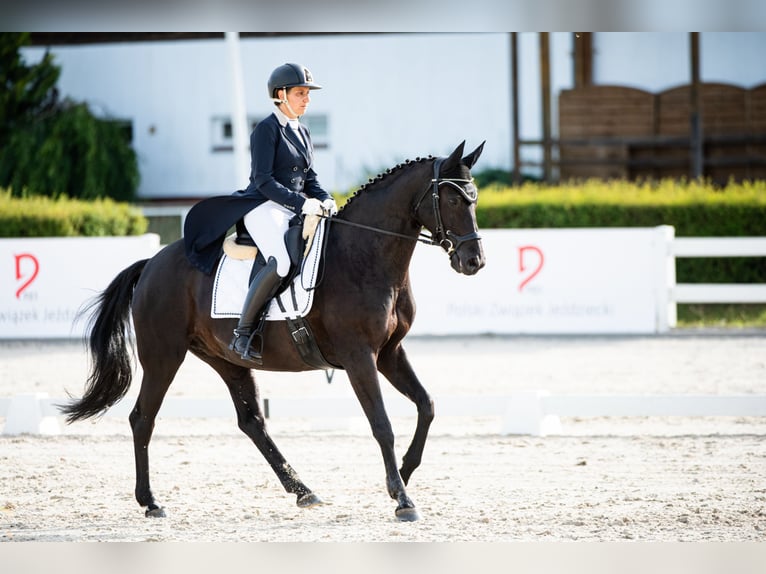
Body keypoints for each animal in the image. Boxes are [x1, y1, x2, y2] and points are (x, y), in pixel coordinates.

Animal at [63, 141, 488, 520]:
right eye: (452, 201)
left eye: (474, 198)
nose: (474, 261)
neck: (365, 256)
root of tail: (151, 262)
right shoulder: (359, 357)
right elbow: (381, 424)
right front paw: (402, 499)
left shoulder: (389, 353)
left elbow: (426, 405)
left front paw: (405, 471)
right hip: (163, 355)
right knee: (142, 418)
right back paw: (150, 502)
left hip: (226, 358)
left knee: (251, 421)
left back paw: (303, 491)